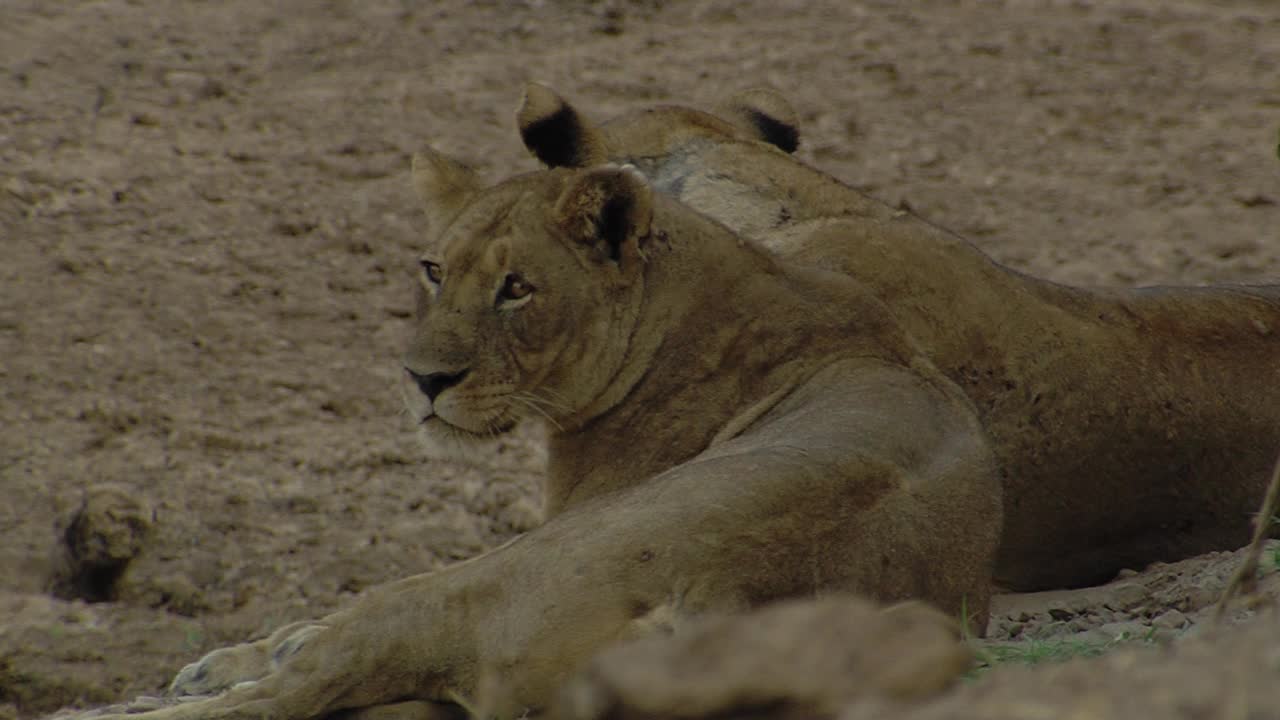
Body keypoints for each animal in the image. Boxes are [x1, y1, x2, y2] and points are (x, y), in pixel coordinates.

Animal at [94, 154, 1003, 712]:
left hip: (496, 579)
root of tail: (714, 608)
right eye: (435, 270)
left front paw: (246, 654)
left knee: (300, 690)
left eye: (517, 288)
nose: (422, 381)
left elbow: (318, 633)